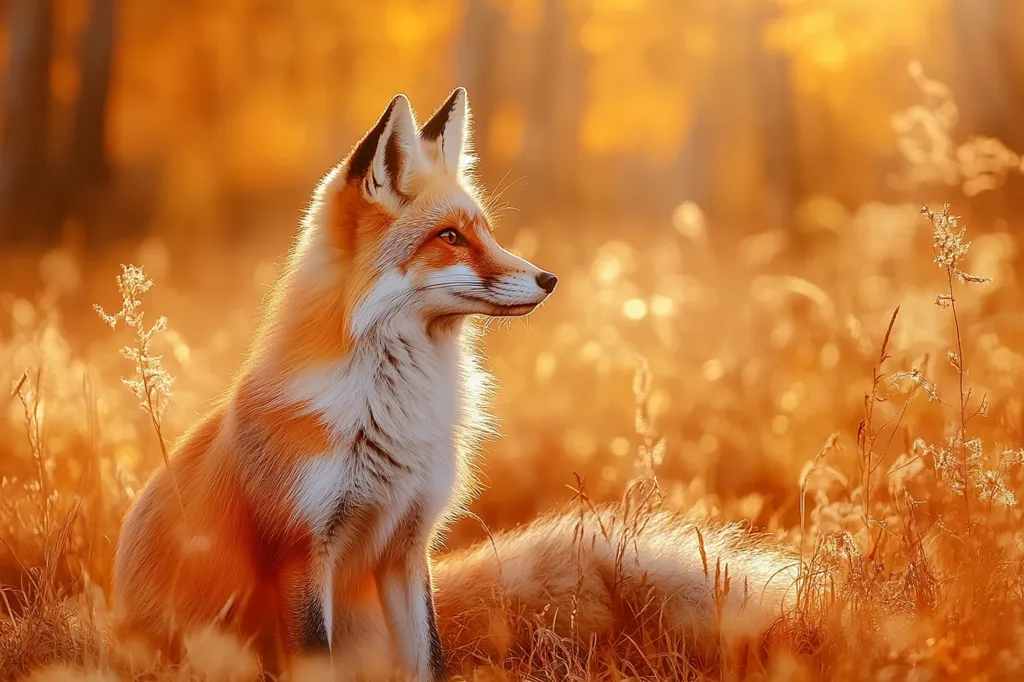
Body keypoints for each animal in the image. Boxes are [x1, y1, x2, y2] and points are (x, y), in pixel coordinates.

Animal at [111, 88, 559, 680]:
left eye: (485, 232)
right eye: (449, 237)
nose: (549, 279)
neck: (386, 411)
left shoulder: (406, 548)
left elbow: (430, 661)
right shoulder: (302, 553)